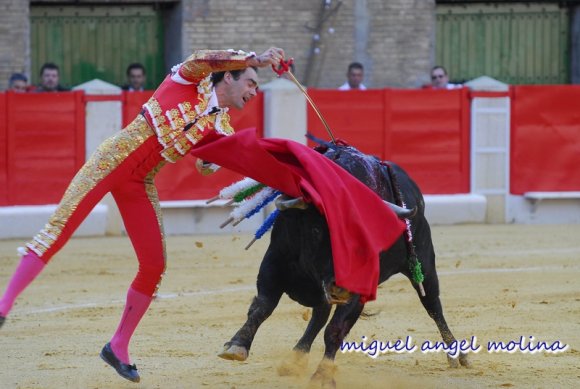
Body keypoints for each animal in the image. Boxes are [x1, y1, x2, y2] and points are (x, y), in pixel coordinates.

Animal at [218, 142, 472, 384]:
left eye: (366, 236)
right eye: (317, 229)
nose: (341, 286)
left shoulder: (358, 289)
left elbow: (335, 329)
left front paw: (322, 376)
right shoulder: (274, 263)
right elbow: (262, 306)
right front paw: (237, 345)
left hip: (424, 266)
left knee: (433, 305)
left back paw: (456, 354)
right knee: (319, 315)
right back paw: (294, 359)